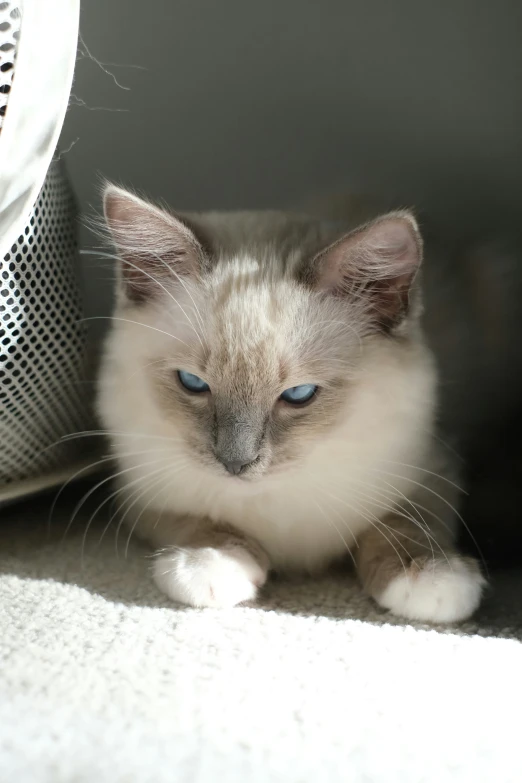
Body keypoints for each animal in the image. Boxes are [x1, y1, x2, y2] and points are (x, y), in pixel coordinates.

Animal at [95, 185, 510, 624]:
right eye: (193, 383)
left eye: (299, 395)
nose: (235, 464)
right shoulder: (140, 492)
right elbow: (199, 521)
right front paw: (211, 561)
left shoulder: (434, 468)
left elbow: (405, 523)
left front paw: (429, 575)